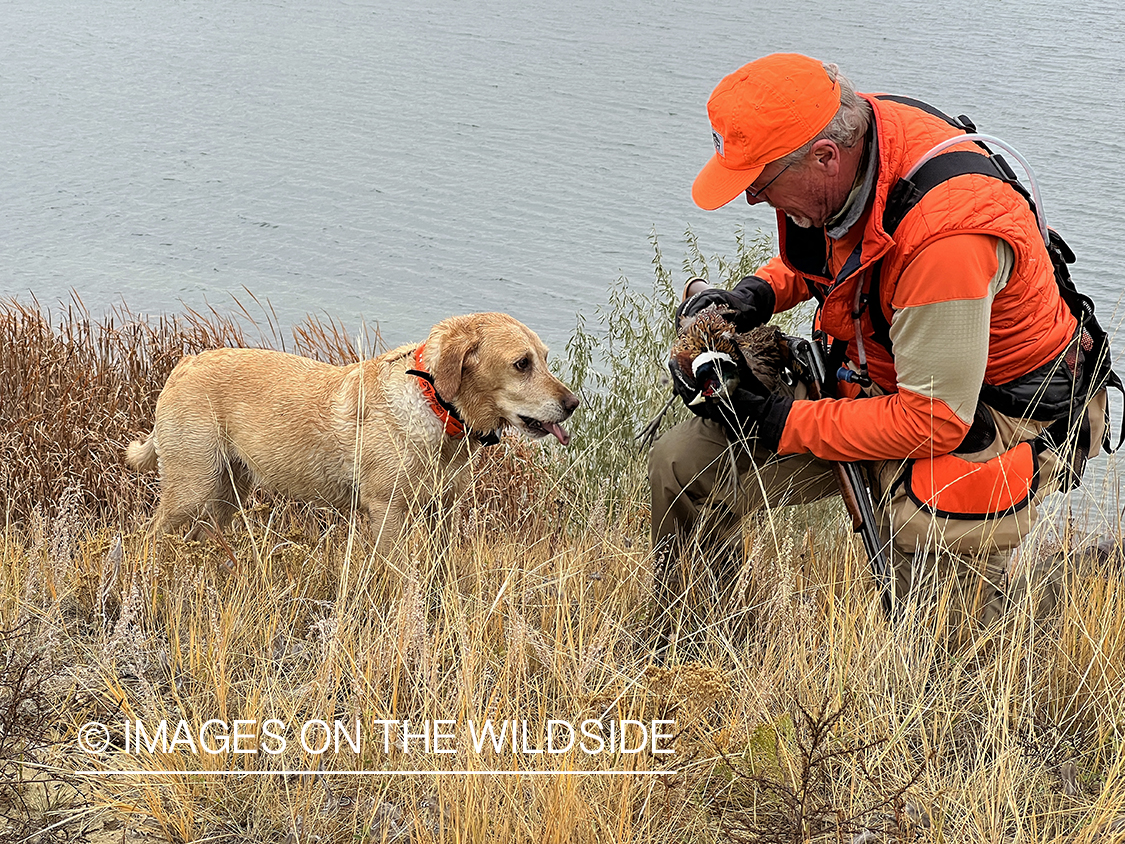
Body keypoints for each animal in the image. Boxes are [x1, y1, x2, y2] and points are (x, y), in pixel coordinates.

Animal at [127, 315, 576, 551]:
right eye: (522, 363)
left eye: (545, 358)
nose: (573, 404)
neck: (435, 405)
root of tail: (182, 366)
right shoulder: (387, 511)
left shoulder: (442, 514)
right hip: (191, 487)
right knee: (150, 535)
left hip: (228, 490)